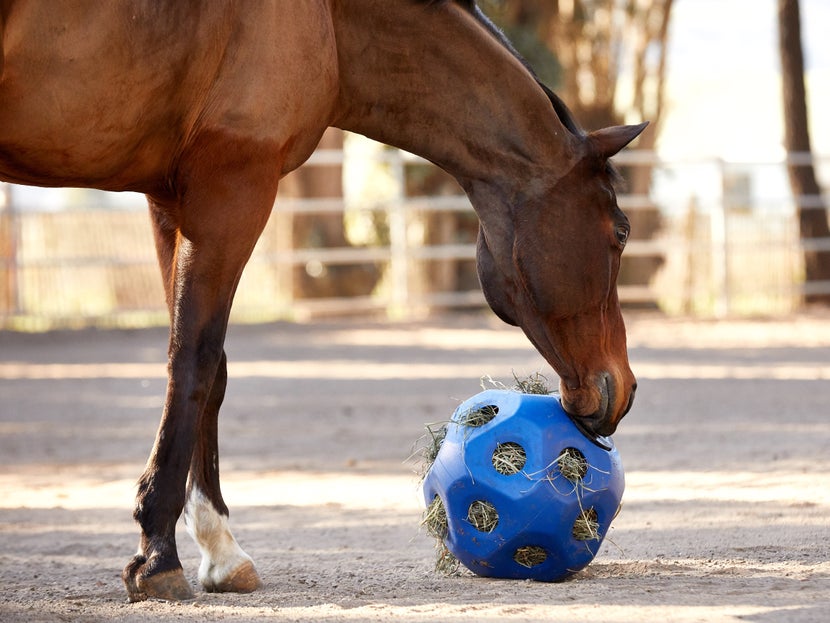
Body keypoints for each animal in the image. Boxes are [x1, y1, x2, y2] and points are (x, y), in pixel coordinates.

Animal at [0, 0, 648, 604]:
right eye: (620, 232)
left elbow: (209, 369)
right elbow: (194, 363)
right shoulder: (231, 191)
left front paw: (219, 549)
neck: (329, 24)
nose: (623, 387)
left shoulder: (170, 198)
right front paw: (158, 553)